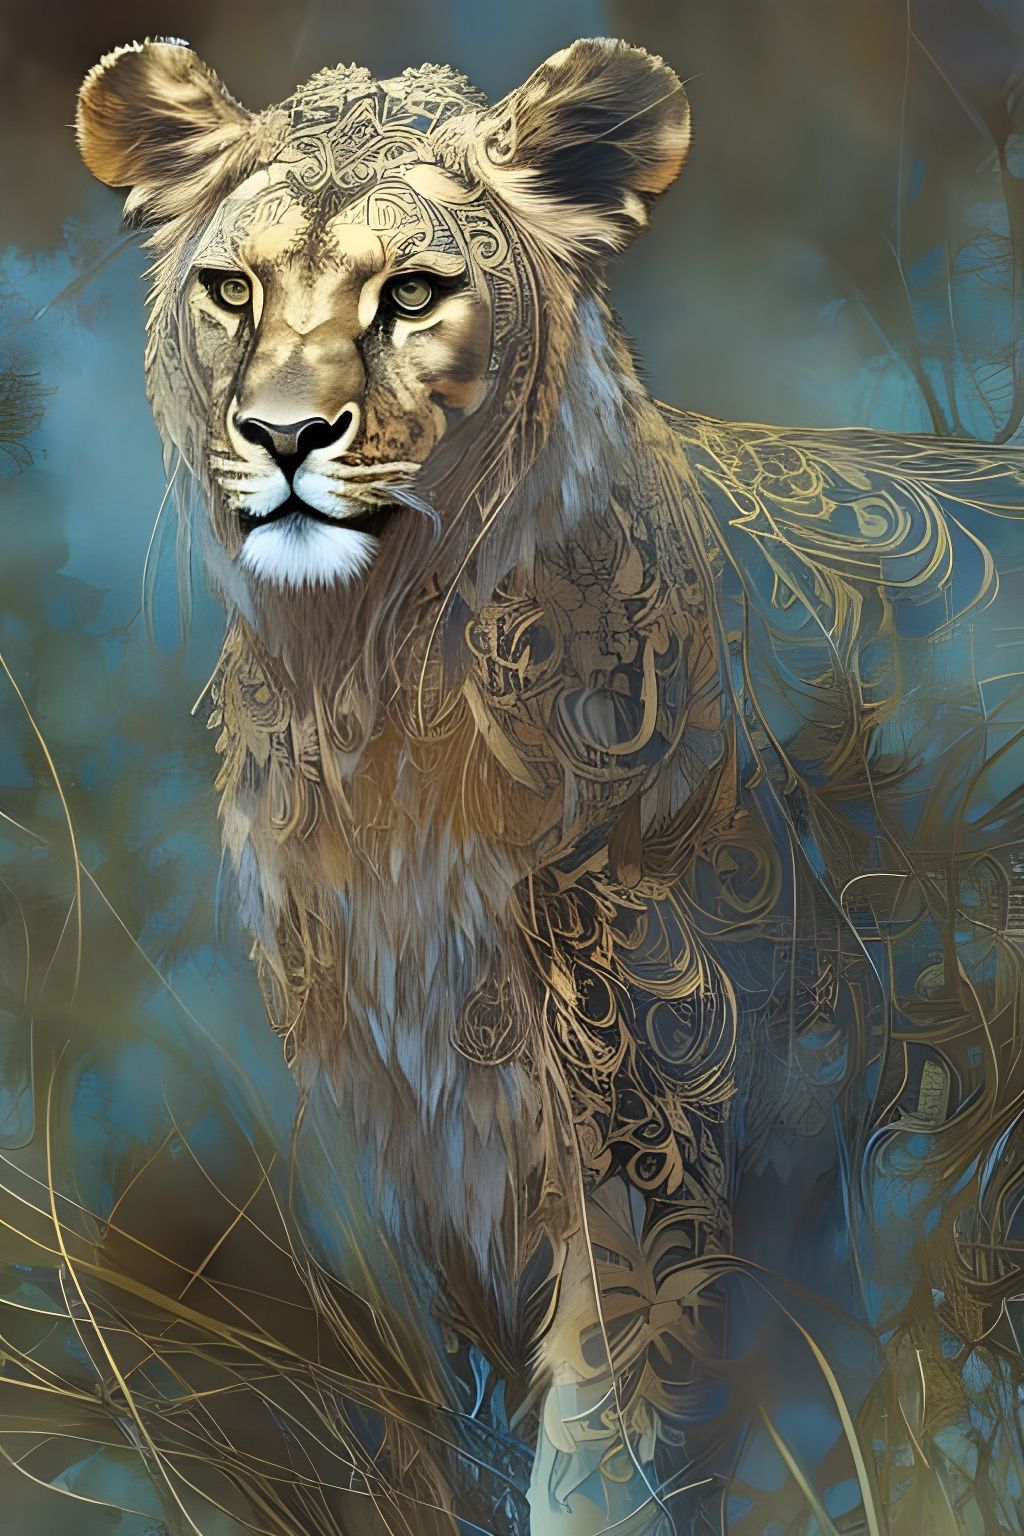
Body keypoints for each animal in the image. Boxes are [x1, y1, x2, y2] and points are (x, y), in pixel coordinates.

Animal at [75, 35, 1024, 1536]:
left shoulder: (672, 1144)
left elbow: (603, 1460)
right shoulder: (427, 1152)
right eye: (233, 290)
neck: (381, 685)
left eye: (412, 293)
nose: (283, 434)